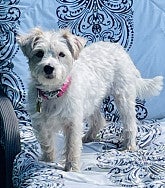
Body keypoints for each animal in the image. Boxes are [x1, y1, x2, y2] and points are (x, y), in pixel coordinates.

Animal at [17, 28, 162, 172]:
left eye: (61, 54)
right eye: (39, 53)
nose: (48, 68)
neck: (53, 92)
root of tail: (119, 48)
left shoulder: (73, 122)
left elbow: (72, 145)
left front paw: (71, 168)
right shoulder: (40, 122)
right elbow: (46, 142)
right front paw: (47, 160)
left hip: (123, 97)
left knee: (130, 123)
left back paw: (129, 145)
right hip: (92, 101)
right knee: (99, 120)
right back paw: (88, 137)